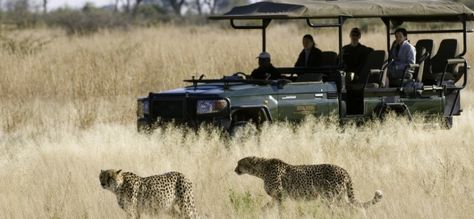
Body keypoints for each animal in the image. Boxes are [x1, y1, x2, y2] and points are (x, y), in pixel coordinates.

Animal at [235, 157, 384, 210]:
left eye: (239, 163)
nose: (235, 169)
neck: (261, 170)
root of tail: (343, 169)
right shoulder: (277, 197)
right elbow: (266, 207)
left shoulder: (280, 195)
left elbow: (280, 210)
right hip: (339, 197)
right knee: (349, 207)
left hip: (329, 197)